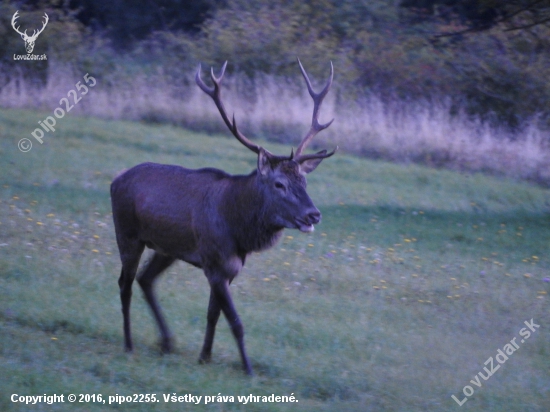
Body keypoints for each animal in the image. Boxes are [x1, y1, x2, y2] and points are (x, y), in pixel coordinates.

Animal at [111, 59, 336, 374]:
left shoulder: (227, 269)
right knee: (125, 284)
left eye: (304, 181)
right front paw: (249, 369)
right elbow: (236, 322)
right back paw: (129, 344)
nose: (313, 214)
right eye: (279, 184)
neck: (239, 231)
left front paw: (204, 356)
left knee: (145, 279)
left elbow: (213, 315)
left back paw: (167, 342)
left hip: (166, 248)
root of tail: (115, 180)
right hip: (127, 233)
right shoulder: (215, 264)